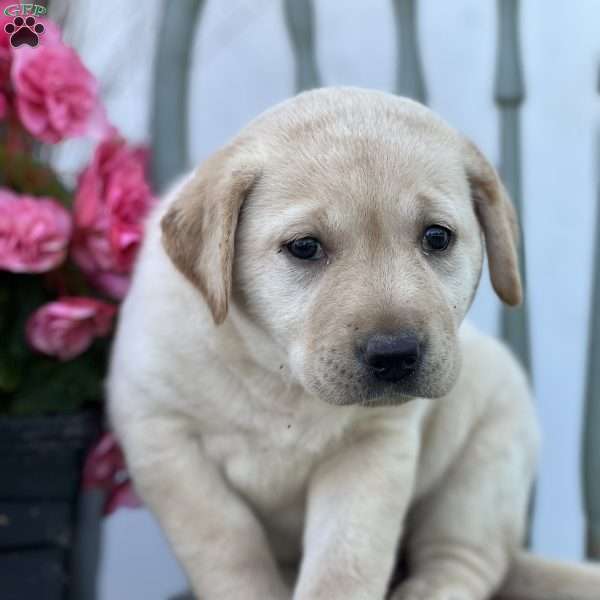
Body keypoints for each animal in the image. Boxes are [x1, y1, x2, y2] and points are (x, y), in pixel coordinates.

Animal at [108, 86, 600, 596]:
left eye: (437, 237)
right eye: (304, 247)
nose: (396, 356)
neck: (278, 378)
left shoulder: (372, 448)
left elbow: (344, 562)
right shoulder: (164, 440)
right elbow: (228, 547)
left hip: (489, 457)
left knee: (462, 561)